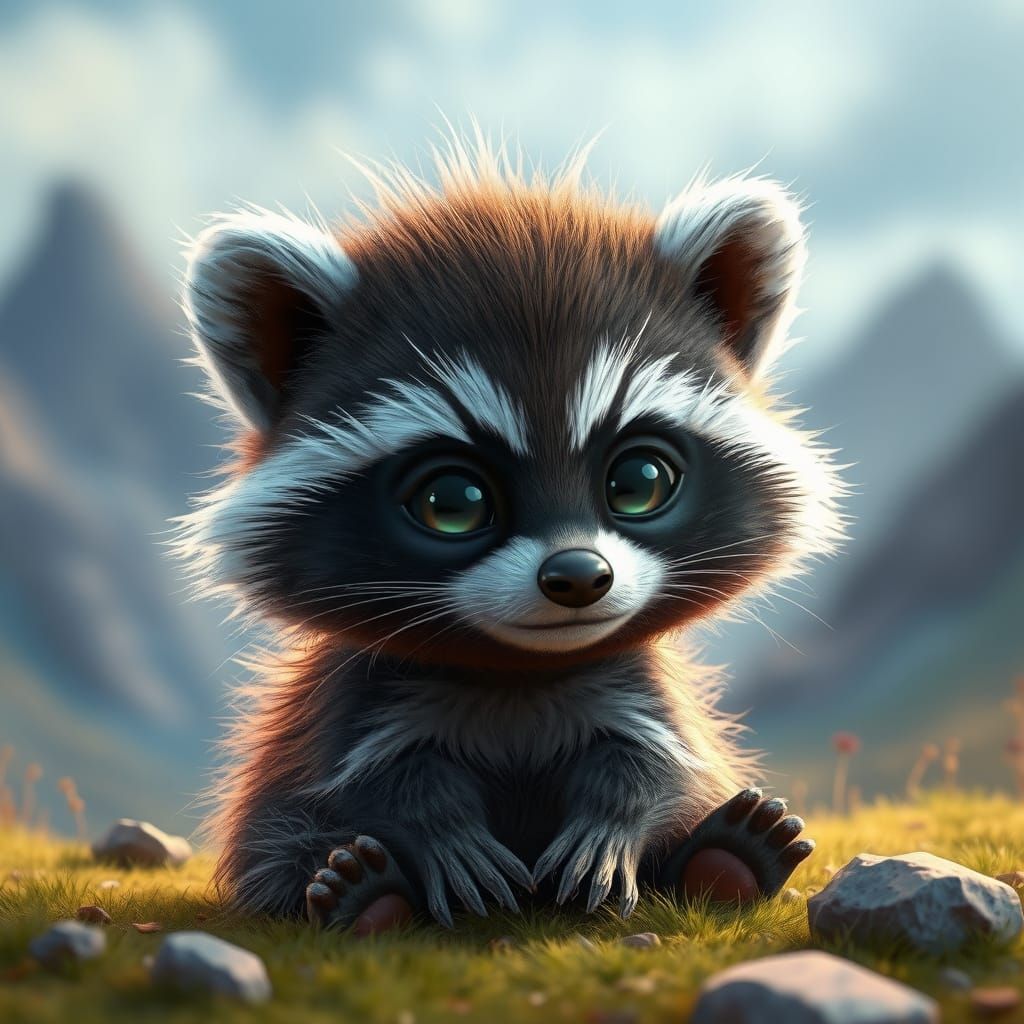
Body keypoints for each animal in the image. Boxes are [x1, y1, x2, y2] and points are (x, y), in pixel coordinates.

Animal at [177, 139, 843, 934]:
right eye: (453, 502)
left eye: (638, 481)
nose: (579, 578)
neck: (520, 675)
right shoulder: (358, 702)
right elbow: (376, 776)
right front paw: (440, 833)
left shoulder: (636, 687)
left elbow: (651, 764)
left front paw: (611, 825)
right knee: (283, 841)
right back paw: (362, 892)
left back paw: (730, 859)